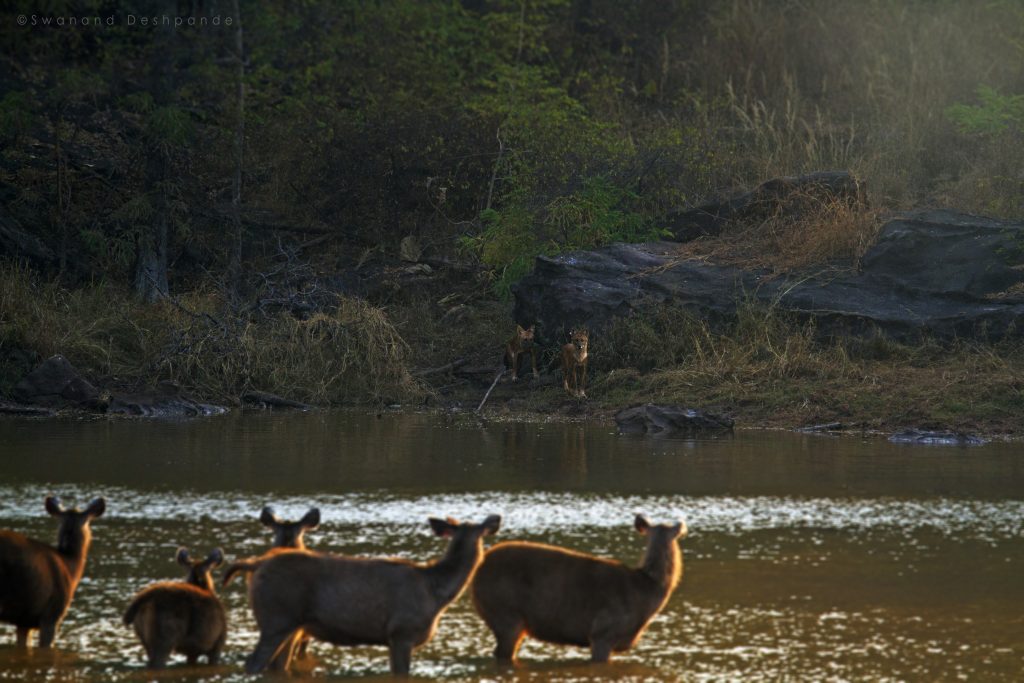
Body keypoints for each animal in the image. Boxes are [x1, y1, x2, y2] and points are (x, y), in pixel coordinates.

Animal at [236, 516, 499, 675]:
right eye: (482, 532)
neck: (436, 592)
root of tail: (256, 565)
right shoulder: (402, 631)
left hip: (289, 626)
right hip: (276, 618)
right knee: (253, 663)